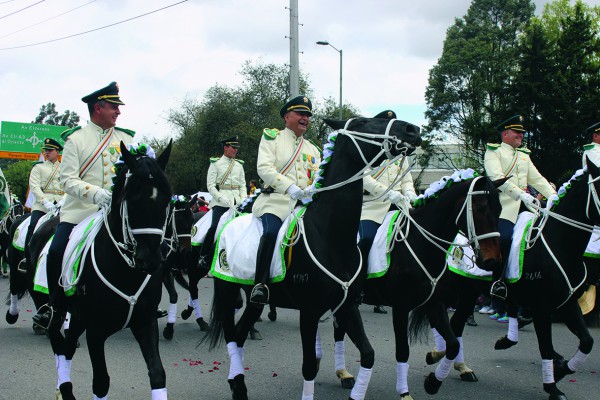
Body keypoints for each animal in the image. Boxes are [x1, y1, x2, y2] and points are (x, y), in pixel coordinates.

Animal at [38, 142, 173, 400]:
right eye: (132, 199)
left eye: (167, 200)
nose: (150, 260)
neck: (127, 271)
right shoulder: (96, 330)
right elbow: (101, 381)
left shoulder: (145, 322)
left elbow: (158, 373)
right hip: (59, 311)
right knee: (59, 346)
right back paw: (63, 388)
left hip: (77, 317)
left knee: (67, 348)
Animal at [204, 116, 422, 400]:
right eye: (364, 121)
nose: (412, 130)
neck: (330, 236)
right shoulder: (309, 311)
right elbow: (308, 366)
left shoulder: (347, 306)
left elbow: (368, 354)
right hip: (229, 290)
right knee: (232, 336)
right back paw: (238, 386)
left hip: (253, 302)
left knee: (240, 335)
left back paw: (237, 384)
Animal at [419, 161, 600, 400]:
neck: (558, 244)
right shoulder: (542, 307)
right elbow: (545, 346)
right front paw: (552, 386)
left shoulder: (567, 303)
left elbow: (587, 342)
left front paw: (560, 370)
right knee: (444, 322)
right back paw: (440, 355)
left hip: (468, 293)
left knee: (456, 326)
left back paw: (459, 366)